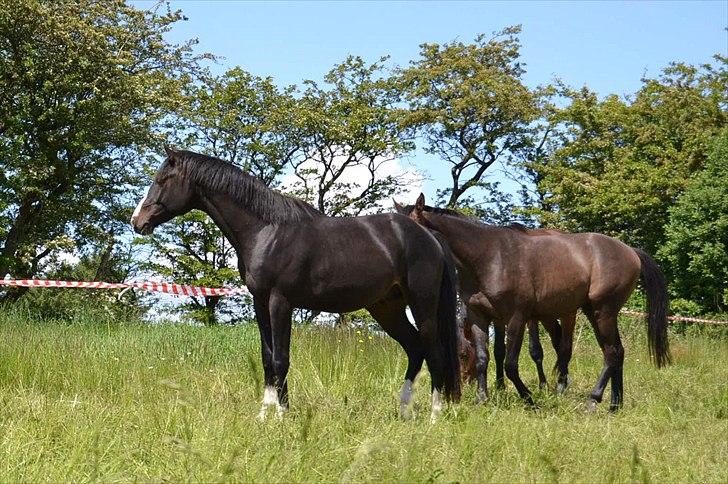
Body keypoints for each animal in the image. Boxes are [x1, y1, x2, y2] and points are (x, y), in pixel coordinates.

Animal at [131, 147, 460, 420]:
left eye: (162, 179)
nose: (137, 221)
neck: (267, 231)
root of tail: (428, 237)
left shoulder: (281, 302)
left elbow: (281, 359)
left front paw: (281, 415)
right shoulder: (260, 302)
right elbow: (267, 358)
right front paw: (266, 413)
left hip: (422, 303)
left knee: (435, 352)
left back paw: (434, 416)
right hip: (386, 307)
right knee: (415, 348)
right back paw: (404, 411)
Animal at [398, 194, 672, 412]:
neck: (488, 256)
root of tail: (631, 251)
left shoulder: (517, 318)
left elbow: (510, 363)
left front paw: (529, 398)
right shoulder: (479, 317)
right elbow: (484, 358)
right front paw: (482, 399)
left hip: (601, 311)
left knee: (610, 353)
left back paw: (593, 400)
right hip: (595, 312)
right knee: (616, 351)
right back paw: (615, 404)